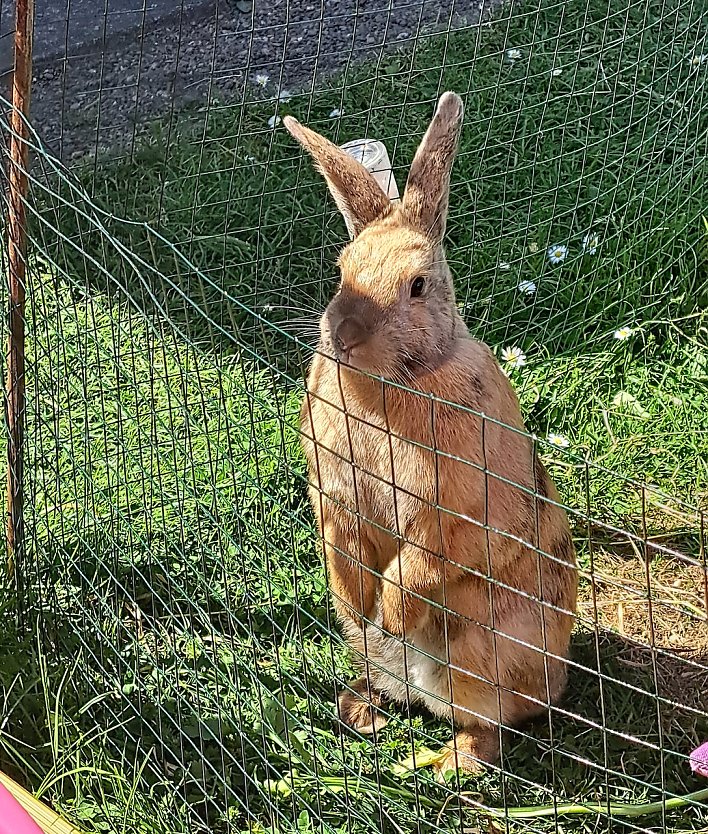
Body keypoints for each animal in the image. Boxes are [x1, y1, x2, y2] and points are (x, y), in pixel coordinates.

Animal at [283, 92, 578, 775]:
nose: (344, 335)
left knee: (486, 728)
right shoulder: (335, 499)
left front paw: (390, 611)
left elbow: (419, 564)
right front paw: (356, 601)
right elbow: (343, 553)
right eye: (342, 270)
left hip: (478, 657)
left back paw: (442, 764)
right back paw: (358, 707)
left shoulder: (457, 514)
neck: (391, 383)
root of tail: (556, 684)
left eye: (418, 285)